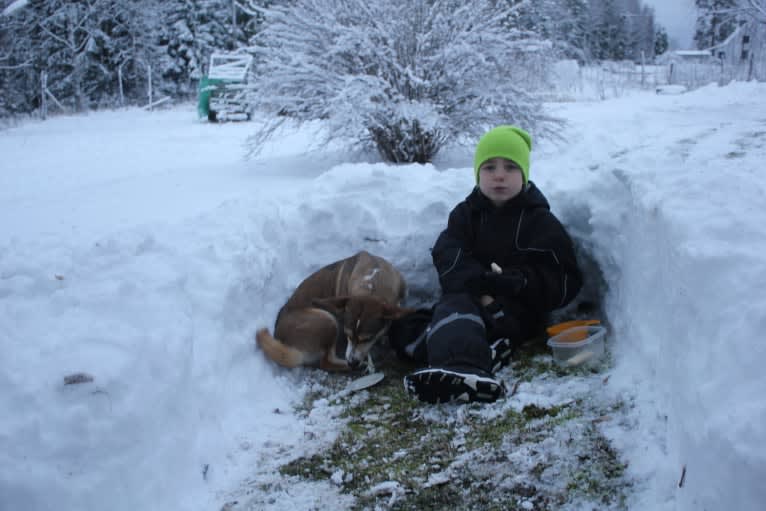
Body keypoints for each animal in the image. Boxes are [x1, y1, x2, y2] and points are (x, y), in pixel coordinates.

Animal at [256, 252, 414, 372]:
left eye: (367, 339)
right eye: (347, 335)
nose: (352, 362)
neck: (372, 284)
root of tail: (281, 339)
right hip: (327, 320)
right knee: (326, 362)